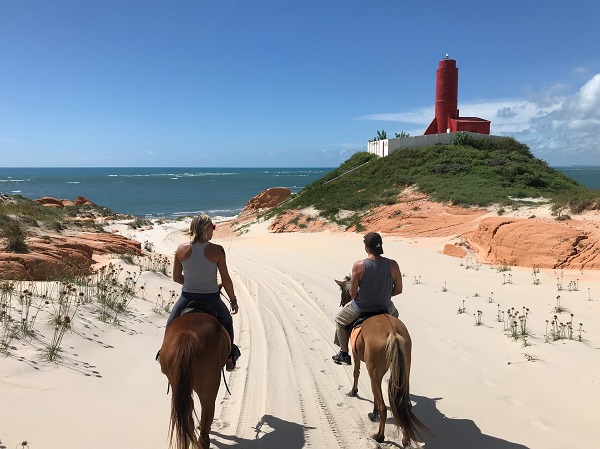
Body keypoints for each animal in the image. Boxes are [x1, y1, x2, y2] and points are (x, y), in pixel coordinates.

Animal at [336, 276, 428, 444]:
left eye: (343, 292)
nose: (342, 302)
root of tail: (393, 333)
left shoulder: (356, 355)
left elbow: (356, 372)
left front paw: (353, 391)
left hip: (375, 371)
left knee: (383, 407)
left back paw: (379, 436)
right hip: (404, 370)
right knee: (404, 405)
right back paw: (405, 440)